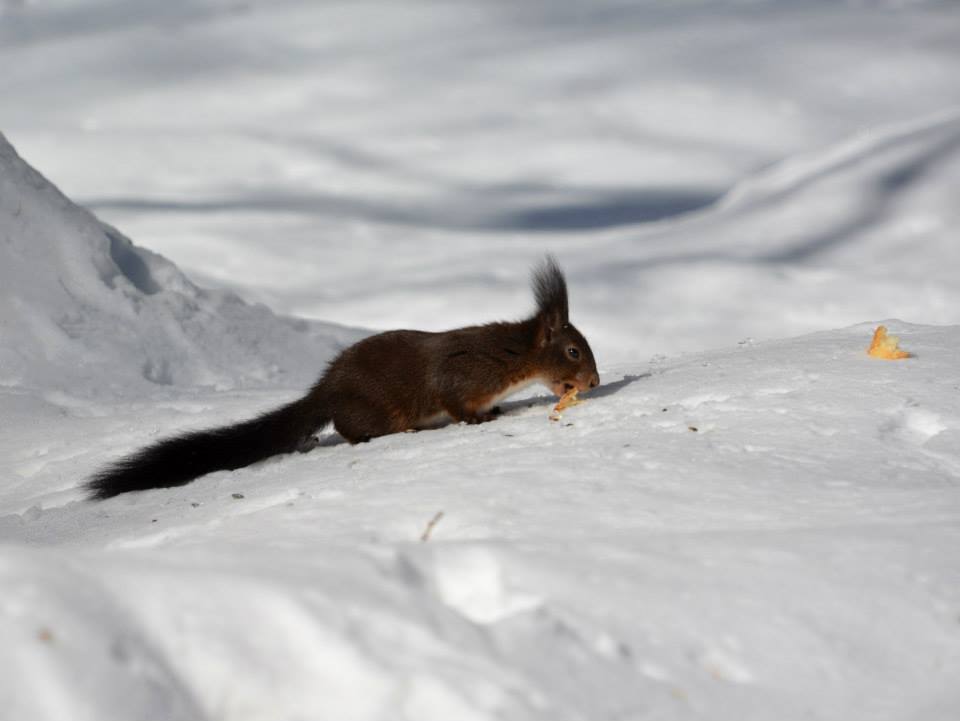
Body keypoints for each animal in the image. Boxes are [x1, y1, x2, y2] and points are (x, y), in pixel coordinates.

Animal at [90, 256, 600, 498]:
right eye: (573, 351)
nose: (594, 382)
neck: (512, 356)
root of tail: (325, 392)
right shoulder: (462, 374)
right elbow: (455, 402)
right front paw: (482, 419)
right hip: (374, 411)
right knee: (351, 428)